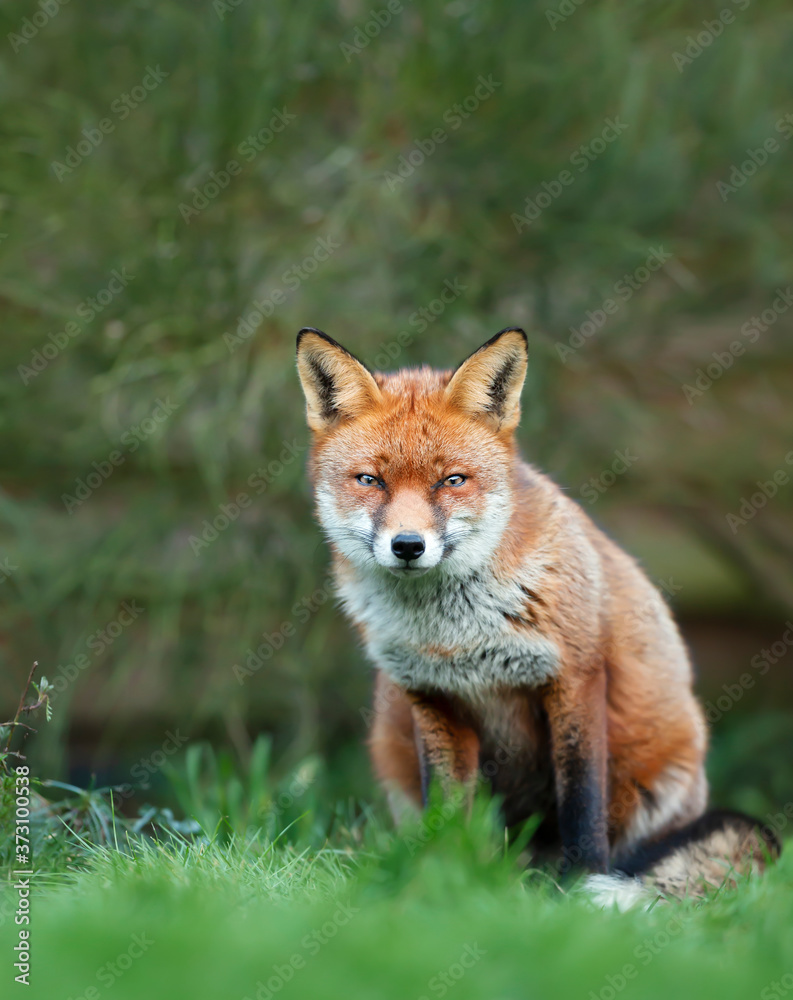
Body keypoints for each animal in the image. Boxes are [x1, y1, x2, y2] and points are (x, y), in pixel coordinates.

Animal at [294, 328, 776, 908]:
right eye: (370, 480)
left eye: (452, 480)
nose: (408, 546)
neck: (454, 633)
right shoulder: (430, 695)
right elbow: (446, 809)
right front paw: (439, 879)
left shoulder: (575, 677)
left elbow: (582, 804)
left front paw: (578, 890)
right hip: (391, 737)